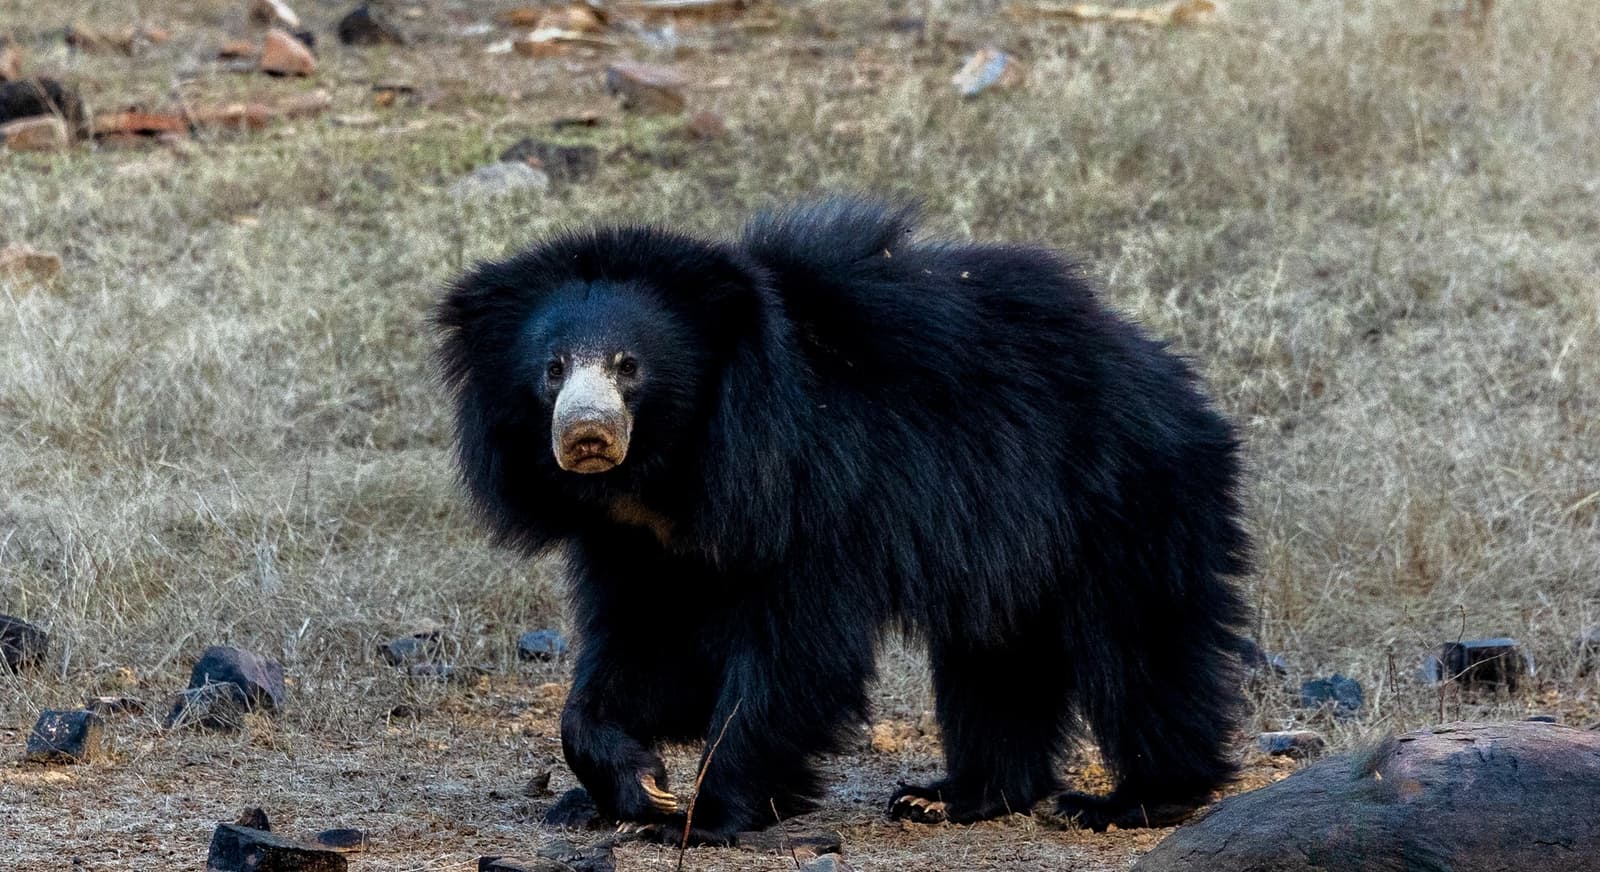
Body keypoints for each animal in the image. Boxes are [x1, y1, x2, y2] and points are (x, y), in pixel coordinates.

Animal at [434, 198, 1251, 843]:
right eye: (552, 368)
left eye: (628, 366)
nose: (587, 436)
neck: (673, 467)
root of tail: (1170, 376)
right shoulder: (636, 540)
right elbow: (639, 645)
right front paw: (635, 784)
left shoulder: (813, 492)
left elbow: (794, 651)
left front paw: (701, 812)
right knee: (995, 651)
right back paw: (953, 797)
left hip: (1120, 493)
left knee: (1141, 640)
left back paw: (1134, 800)